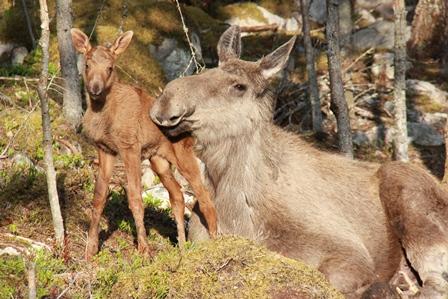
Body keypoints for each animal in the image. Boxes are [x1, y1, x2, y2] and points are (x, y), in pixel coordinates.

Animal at [70, 29, 217, 262]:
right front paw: (90, 250)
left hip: (184, 155)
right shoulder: (105, 149)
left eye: (110, 67)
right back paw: (182, 248)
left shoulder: (130, 147)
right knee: (177, 195)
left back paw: (216, 242)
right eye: (87, 64)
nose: (95, 89)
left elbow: (135, 198)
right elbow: (99, 197)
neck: (104, 117)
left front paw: (145, 251)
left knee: (204, 198)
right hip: (159, 160)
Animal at [151, 26, 448, 299]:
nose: (166, 103)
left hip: (409, 193)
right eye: (208, 69)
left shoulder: (350, 252)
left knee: (435, 282)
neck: (234, 206)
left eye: (239, 86)